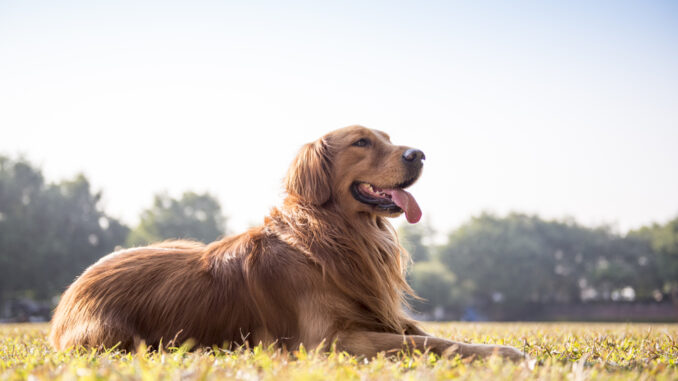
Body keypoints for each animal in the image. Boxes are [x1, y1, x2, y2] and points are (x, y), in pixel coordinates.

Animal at [50, 124, 524, 360]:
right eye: (362, 142)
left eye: (390, 140)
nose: (419, 154)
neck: (337, 236)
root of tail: (69, 296)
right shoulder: (330, 341)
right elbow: (429, 342)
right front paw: (507, 354)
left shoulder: (379, 316)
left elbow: (433, 334)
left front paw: (501, 347)